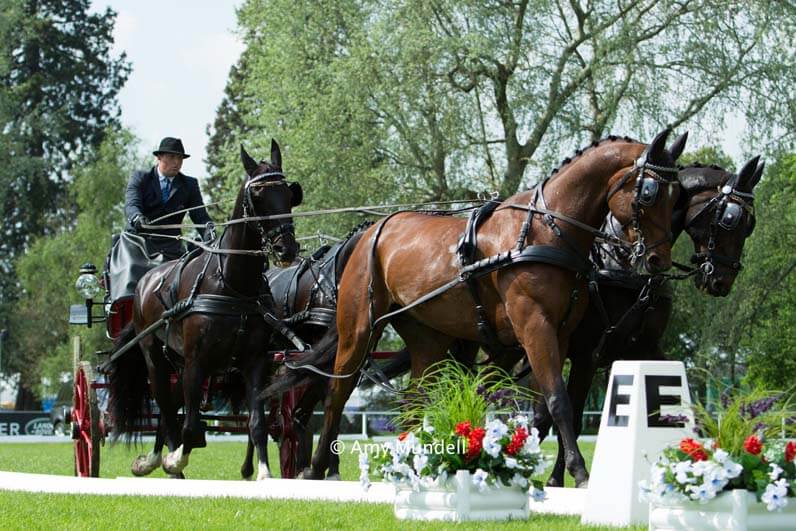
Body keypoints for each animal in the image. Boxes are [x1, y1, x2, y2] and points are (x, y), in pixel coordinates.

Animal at [106, 140, 302, 479]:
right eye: (258, 195)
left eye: (288, 195)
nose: (285, 248)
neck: (232, 284)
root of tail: (144, 281)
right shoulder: (197, 362)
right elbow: (191, 426)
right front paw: (175, 459)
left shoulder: (254, 362)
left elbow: (257, 423)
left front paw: (264, 473)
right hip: (157, 359)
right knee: (167, 408)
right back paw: (164, 462)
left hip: (180, 362)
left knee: (170, 410)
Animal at [296, 130, 688, 486]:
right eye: (649, 193)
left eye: (678, 195)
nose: (658, 260)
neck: (545, 231)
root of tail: (371, 230)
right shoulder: (535, 327)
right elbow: (558, 400)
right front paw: (579, 473)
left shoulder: (560, 335)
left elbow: (547, 407)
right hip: (359, 329)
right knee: (337, 394)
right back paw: (315, 468)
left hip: (428, 339)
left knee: (414, 399)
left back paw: (410, 469)